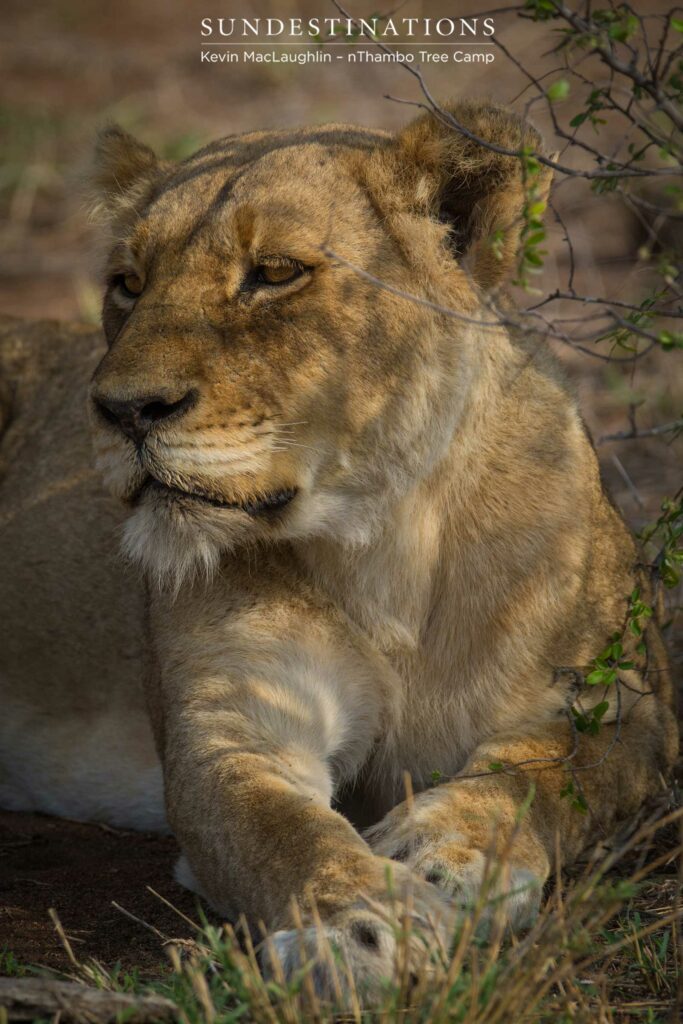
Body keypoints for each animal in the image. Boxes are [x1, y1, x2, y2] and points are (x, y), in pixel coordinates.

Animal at [0, 100, 678, 1000]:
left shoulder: (625, 708)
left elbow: (542, 776)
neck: (384, 545)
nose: (121, 410)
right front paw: (363, 929)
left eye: (274, 272)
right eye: (128, 283)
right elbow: (287, 835)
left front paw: (442, 854)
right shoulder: (233, 727)